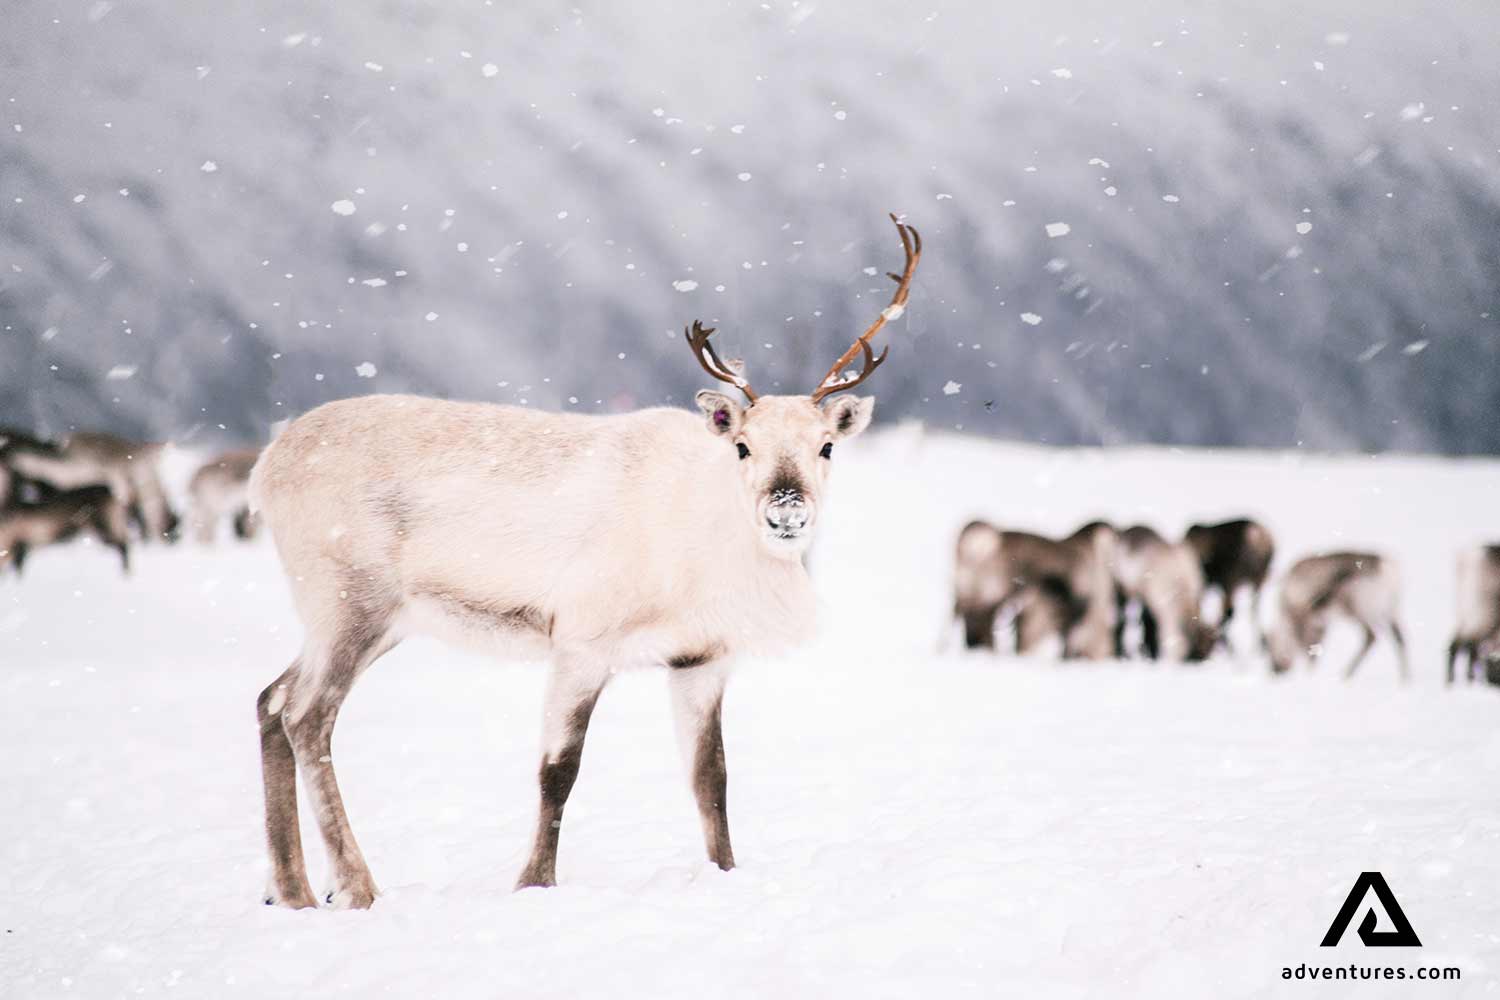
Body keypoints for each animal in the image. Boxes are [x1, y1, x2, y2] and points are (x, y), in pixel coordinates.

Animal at [0, 484, 132, 575]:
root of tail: (109, 491)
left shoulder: (21, 544)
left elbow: (18, 569)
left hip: (104, 525)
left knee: (122, 544)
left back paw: (125, 571)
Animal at [248, 214, 920, 910]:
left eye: (826, 446)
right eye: (742, 445)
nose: (786, 510)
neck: (708, 553)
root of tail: (264, 468)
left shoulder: (702, 658)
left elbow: (712, 777)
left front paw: (725, 873)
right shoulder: (581, 642)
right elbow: (558, 771)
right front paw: (533, 882)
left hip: (367, 620)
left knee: (270, 700)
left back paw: (291, 889)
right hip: (350, 603)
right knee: (306, 716)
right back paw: (355, 887)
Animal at [1266, 552, 1409, 680]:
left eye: (1271, 649)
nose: (1276, 670)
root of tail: (1387, 568)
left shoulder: (1306, 619)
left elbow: (1309, 650)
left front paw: (1309, 676)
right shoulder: (1320, 622)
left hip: (1359, 609)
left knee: (1371, 636)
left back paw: (1346, 673)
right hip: (1391, 612)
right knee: (1400, 639)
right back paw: (1405, 678)